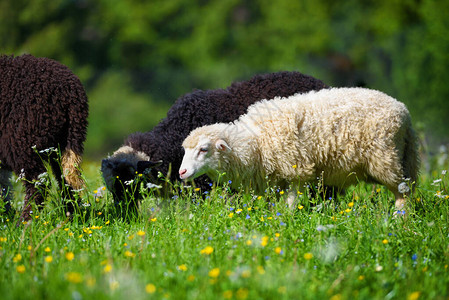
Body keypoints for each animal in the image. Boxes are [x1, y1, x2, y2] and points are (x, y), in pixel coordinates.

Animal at [0, 54, 88, 220]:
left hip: (23, 138)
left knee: (39, 183)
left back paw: (25, 221)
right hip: (61, 142)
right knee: (65, 179)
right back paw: (72, 216)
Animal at [178, 87, 416, 211]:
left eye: (204, 149)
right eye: (185, 150)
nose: (182, 172)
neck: (255, 142)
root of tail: (403, 109)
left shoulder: (295, 169)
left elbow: (291, 202)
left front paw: (287, 220)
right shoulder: (272, 178)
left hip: (386, 157)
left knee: (403, 191)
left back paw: (399, 219)